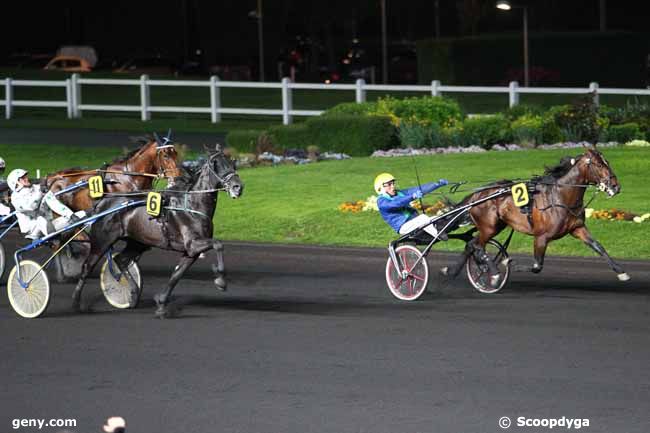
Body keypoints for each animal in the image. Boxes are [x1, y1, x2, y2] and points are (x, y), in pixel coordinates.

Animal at [71, 143, 243, 316]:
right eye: (215, 164)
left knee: (120, 261)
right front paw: (221, 280)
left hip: (138, 243)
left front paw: (161, 304)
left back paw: (133, 293)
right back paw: (76, 303)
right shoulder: (193, 244)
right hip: (102, 241)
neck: (192, 204)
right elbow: (218, 244)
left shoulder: (190, 252)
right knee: (87, 267)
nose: (238, 187)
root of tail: (102, 202)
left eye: (233, 162)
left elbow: (176, 275)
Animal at [440, 147, 628, 286]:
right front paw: (509, 263)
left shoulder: (577, 228)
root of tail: (476, 195)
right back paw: (492, 273)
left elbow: (598, 246)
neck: (559, 197)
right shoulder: (541, 237)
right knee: (477, 246)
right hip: (489, 227)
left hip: (495, 226)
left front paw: (621, 271)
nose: (615, 186)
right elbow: (537, 265)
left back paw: (455, 271)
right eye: (599, 165)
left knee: (471, 244)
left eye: (607, 163)